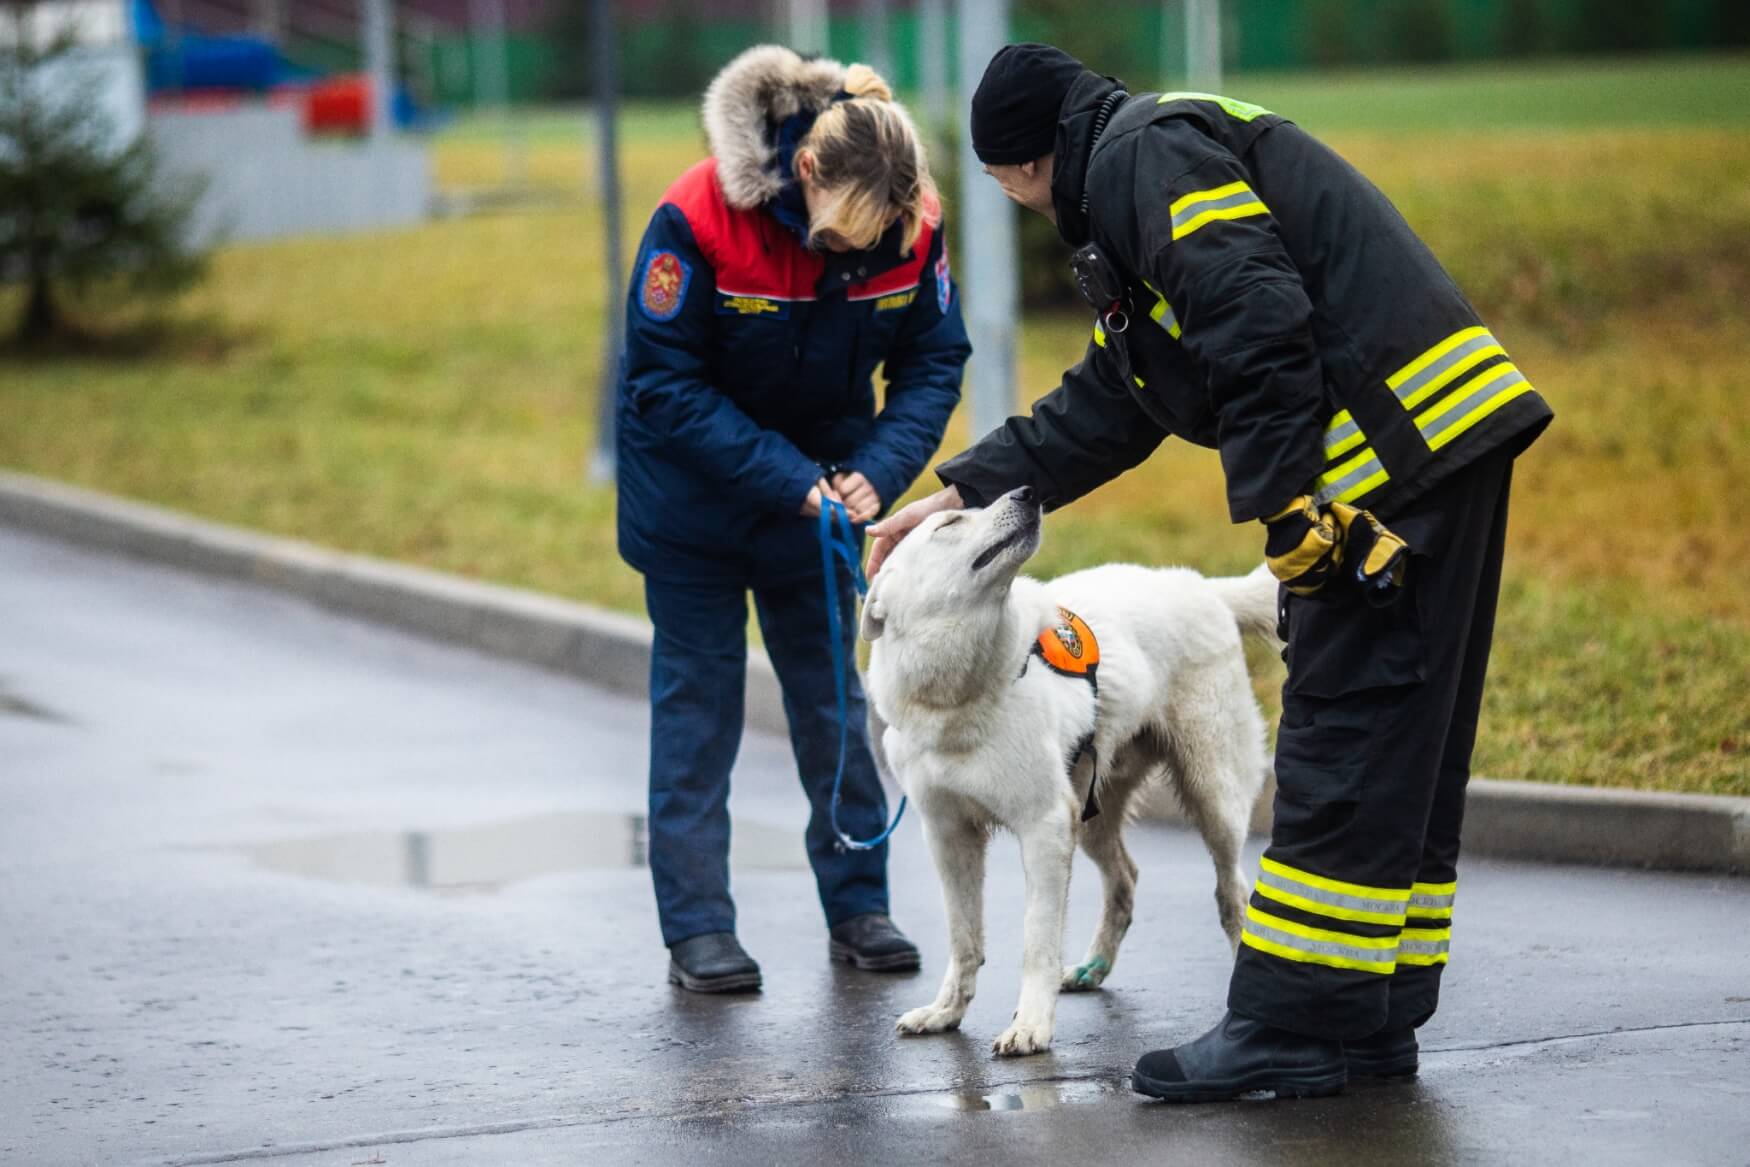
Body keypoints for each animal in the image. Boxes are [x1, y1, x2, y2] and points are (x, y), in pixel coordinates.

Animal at [857, 486, 1274, 1056]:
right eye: (949, 524)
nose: (1028, 492)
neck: (960, 696)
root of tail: (1203, 586)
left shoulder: (1045, 826)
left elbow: (1037, 939)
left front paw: (1030, 1025)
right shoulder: (948, 834)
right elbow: (964, 938)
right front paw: (945, 1012)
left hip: (1212, 797)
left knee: (1231, 894)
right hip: (1091, 812)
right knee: (1125, 879)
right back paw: (1092, 969)